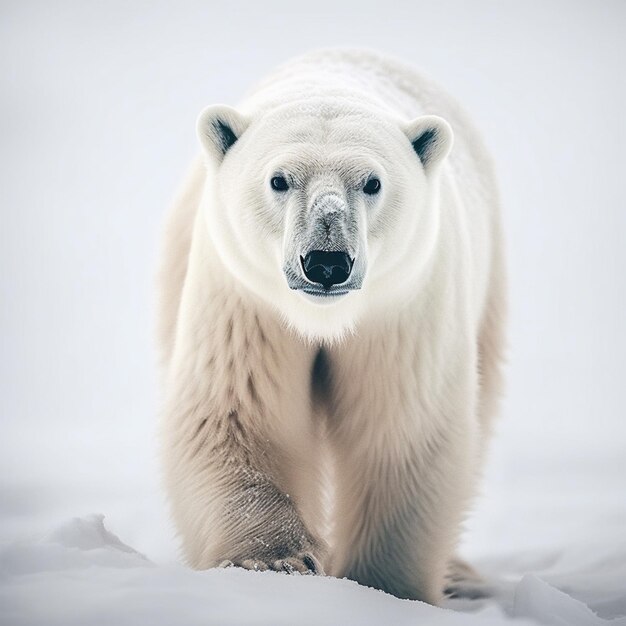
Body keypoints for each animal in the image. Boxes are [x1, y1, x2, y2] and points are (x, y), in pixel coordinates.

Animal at [158, 46, 504, 604]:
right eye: (278, 179)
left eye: (373, 182)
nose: (325, 262)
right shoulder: (245, 304)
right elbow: (237, 414)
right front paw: (276, 561)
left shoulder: (402, 313)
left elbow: (401, 433)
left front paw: (385, 587)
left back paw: (459, 574)